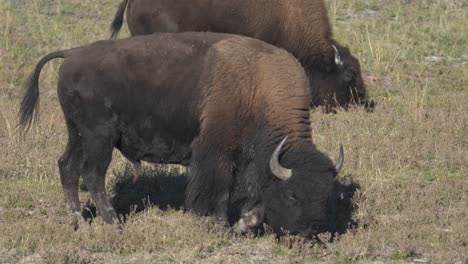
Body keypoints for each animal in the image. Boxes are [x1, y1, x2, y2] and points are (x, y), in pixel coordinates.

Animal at [19, 32, 344, 237]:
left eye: (326, 194)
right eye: (292, 194)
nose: (311, 230)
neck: (258, 88)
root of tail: (72, 54)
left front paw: (244, 223)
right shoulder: (217, 153)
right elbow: (219, 191)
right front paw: (222, 227)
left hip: (77, 134)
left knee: (67, 166)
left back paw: (79, 221)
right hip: (99, 137)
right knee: (92, 174)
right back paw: (114, 224)